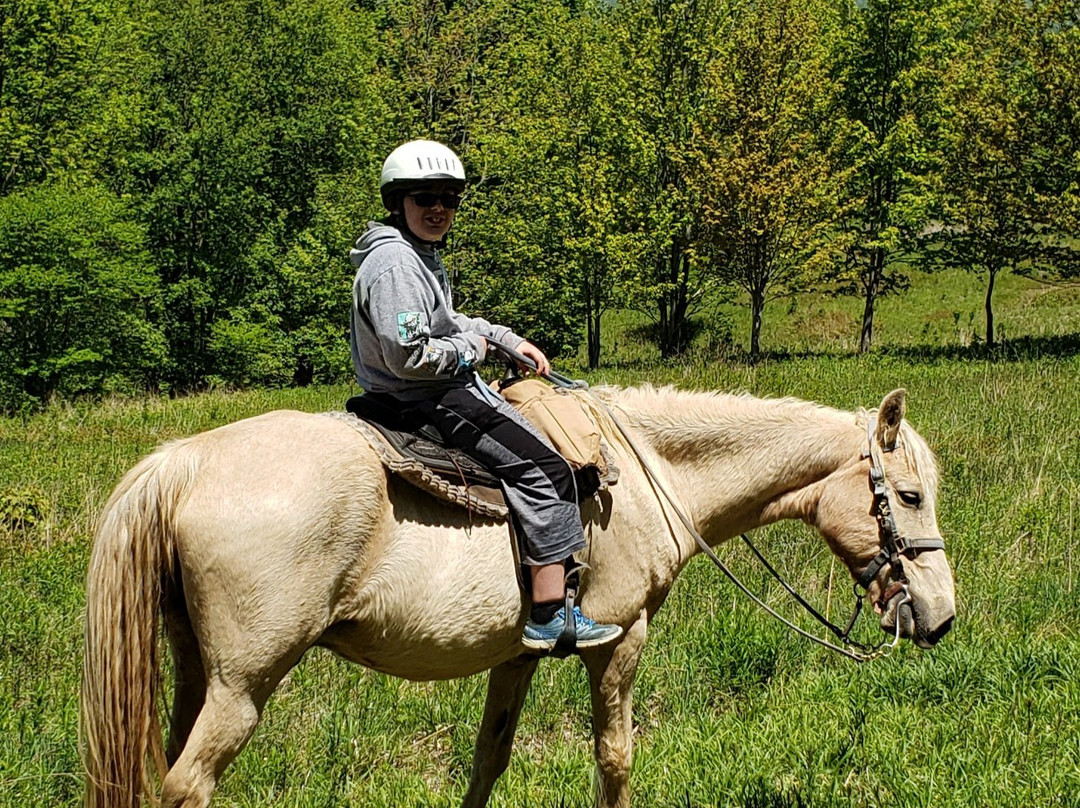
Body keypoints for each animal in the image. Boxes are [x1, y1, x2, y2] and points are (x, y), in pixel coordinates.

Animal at [86, 386, 963, 808]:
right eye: (910, 496)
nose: (941, 618)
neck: (651, 472)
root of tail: (183, 461)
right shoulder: (621, 639)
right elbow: (615, 757)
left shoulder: (518, 656)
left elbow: (490, 758)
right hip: (245, 683)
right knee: (189, 784)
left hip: (197, 670)